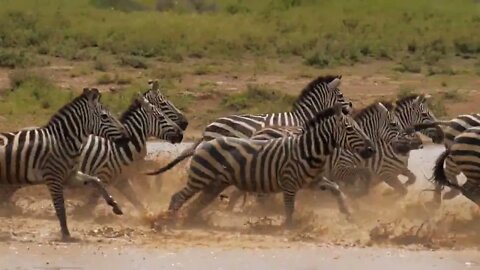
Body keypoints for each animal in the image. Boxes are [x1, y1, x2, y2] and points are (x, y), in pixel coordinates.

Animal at [0, 88, 128, 240]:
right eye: (104, 117)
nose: (127, 135)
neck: (63, 141)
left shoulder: (70, 175)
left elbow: (96, 180)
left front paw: (114, 205)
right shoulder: (53, 177)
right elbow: (60, 205)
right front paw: (66, 233)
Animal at [161, 103, 376, 226]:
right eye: (350, 129)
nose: (371, 150)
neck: (308, 150)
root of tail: (205, 141)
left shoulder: (313, 181)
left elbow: (336, 188)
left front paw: (347, 213)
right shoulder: (289, 183)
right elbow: (289, 209)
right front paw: (288, 228)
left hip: (215, 184)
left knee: (196, 204)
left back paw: (191, 222)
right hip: (201, 178)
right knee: (178, 197)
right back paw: (169, 221)